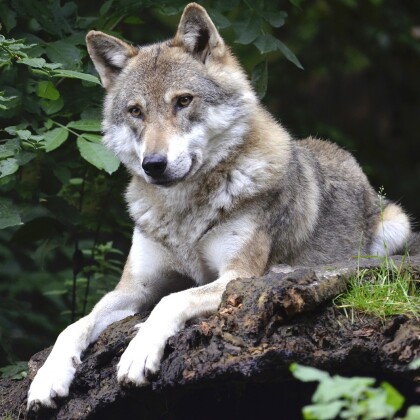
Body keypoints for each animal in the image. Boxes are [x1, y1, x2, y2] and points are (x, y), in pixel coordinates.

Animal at [26, 1, 410, 412]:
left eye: (183, 101)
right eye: (135, 111)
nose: (153, 164)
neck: (183, 213)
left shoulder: (234, 276)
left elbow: (171, 300)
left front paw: (138, 352)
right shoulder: (133, 287)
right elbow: (74, 325)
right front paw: (47, 378)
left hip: (396, 224)